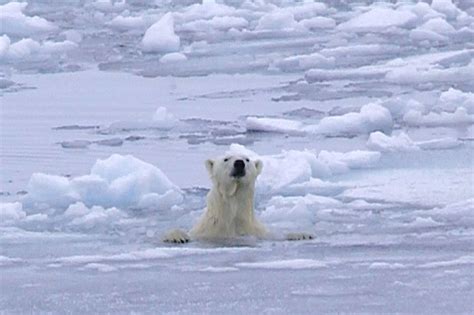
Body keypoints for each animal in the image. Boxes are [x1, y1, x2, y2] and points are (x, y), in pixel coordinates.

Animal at [161, 154, 312, 243]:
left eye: (247, 159)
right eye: (226, 159)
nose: (239, 163)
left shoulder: (257, 231)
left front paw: (302, 234)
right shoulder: (205, 231)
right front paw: (177, 236)